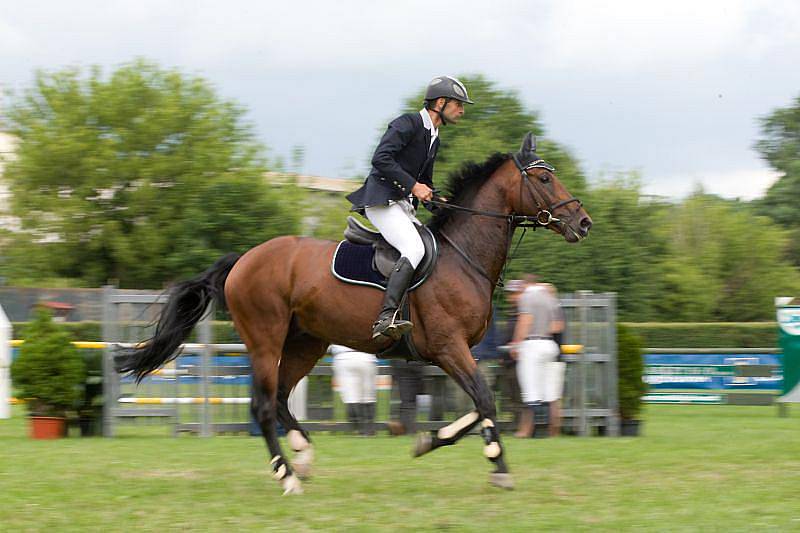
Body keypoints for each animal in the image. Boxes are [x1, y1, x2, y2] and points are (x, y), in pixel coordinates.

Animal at [120, 133, 592, 494]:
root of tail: (242, 260)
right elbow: (485, 400)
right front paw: (498, 463)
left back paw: (304, 454)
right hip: (265, 339)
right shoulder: (448, 347)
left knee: (281, 398)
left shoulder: (456, 352)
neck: (463, 257)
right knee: (263, 405)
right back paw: (288, 476)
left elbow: (479, 404)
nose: (584, 223)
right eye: (545, 178)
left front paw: (429, 440)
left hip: (306, 342)